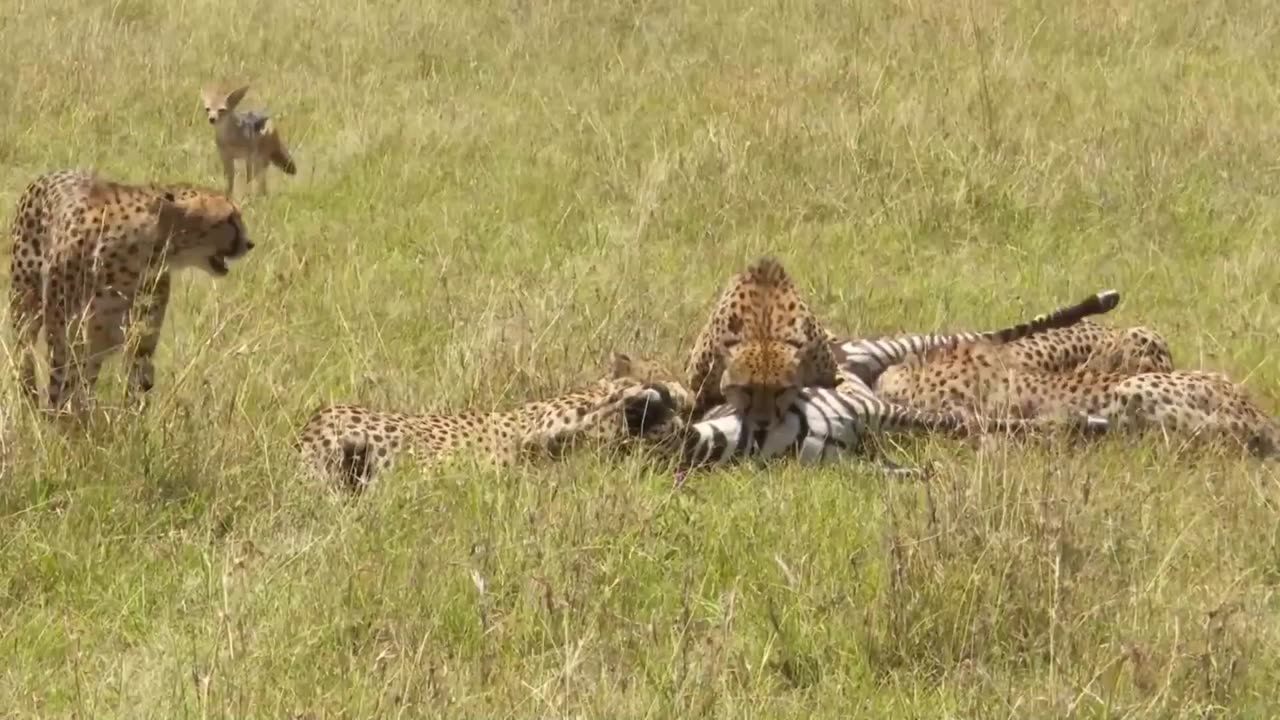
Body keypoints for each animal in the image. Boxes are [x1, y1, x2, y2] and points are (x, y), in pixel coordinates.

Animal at [6, 167, 252, 415]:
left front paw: (134, 420)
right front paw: (59, 419)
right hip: (25, 310)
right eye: (229, 219)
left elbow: (137, 387)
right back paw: (29, 399)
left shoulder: (140, 339)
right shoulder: (66, 339)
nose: (250, 243)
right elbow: (62, 386)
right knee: (24, 356)